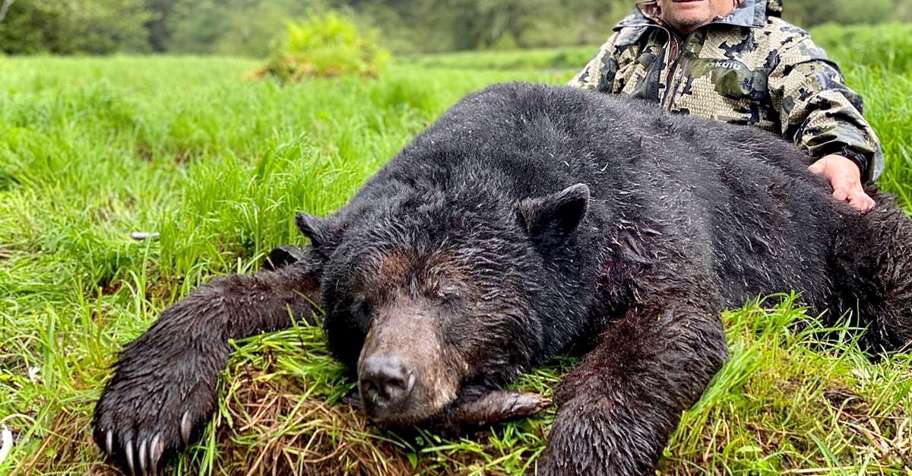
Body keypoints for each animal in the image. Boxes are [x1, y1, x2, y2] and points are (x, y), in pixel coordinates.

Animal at [92, 82, 912, 475]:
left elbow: (667, 328)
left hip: (844, 226)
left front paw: (572, 459)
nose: (386, 377)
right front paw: (144, 416)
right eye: (362, 305)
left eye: (448, 296)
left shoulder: (640, 227)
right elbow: (249, 288)